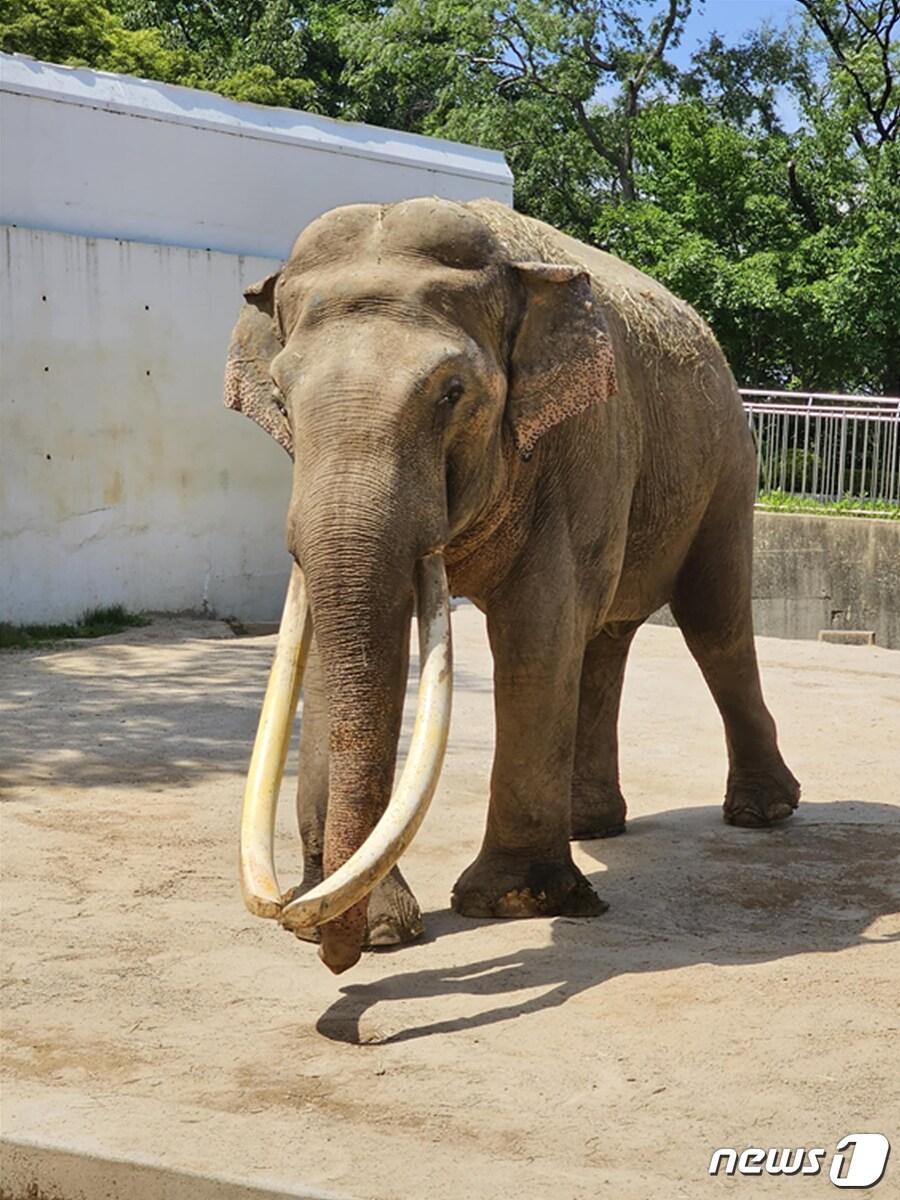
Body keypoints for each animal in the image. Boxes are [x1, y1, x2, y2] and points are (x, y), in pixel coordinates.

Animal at [225, 199, 801, 974]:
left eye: (452, 393)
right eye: (283, 401)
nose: (325, 945)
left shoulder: (574, 444)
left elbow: (535, 632)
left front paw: (510, 904)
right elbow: (329, 649)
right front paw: (375, 930)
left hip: (727, 463)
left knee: (713, 623)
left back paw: (762, 813)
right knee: (605, 635)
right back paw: (593, 826)